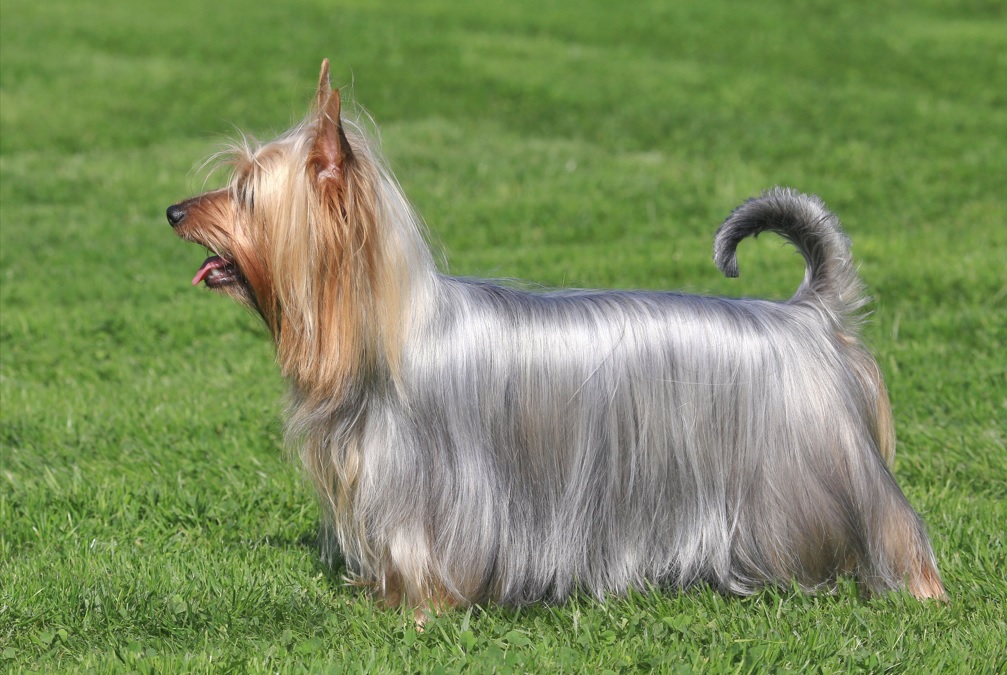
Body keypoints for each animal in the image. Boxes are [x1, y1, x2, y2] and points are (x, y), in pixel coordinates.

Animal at [165, 59, 942, 612]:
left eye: (245, 194)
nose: (173, 210)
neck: (386, 337)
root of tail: (807, 312)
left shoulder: (439, 489)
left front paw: (422, 608)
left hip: (823, 465)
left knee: (892, 525)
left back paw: (917, 587)